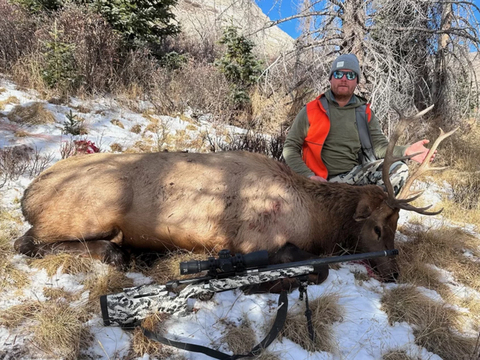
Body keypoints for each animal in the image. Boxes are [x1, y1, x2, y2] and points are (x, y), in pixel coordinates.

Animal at [12, 107, 458, 282]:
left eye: (398, 225)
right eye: (379, 227)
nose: (394, 272)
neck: (316, 219)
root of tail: (27, 193)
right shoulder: (254, 239)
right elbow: (316, 266)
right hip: (90, 209)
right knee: (26, 243)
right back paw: (118, 253)